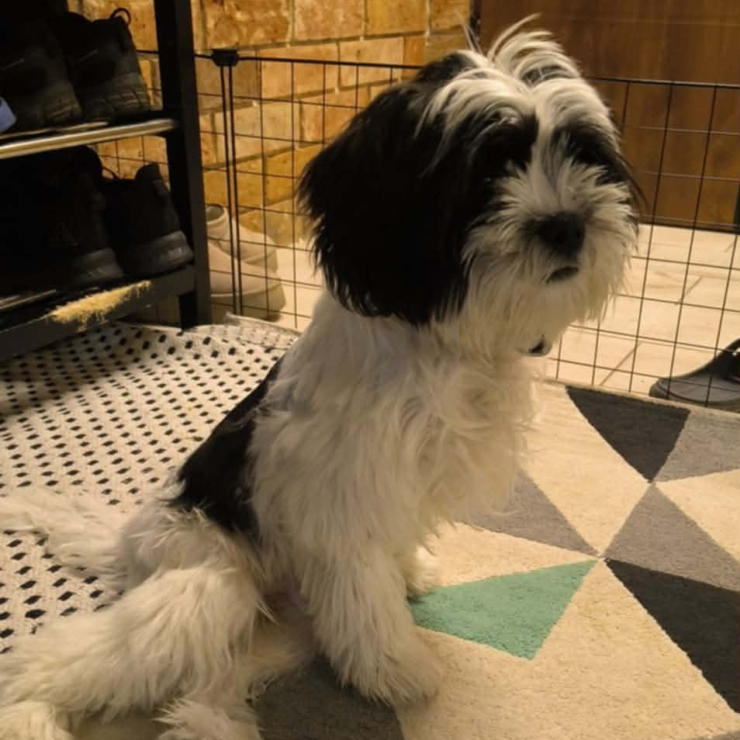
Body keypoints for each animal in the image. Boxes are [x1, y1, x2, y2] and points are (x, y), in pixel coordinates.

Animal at [0, 20, 637, 740]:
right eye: (486, 171)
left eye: (583, 154)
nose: (567, 225)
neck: (439, 342)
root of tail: (129, 543)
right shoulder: (343, 509)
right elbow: (365, 602)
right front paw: (397, 669)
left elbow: (386, 566)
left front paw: (409, 575)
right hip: (213, 586)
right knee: (82, 654)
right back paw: (30, 713)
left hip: (273, 625)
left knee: (205, 688)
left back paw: (214, 723)